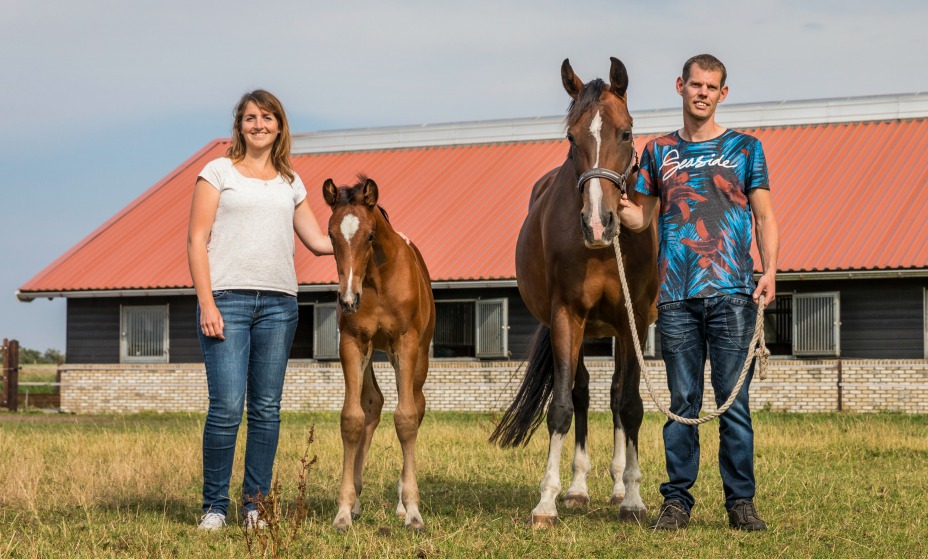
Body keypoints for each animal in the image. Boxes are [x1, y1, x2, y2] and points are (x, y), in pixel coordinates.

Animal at [322, 177, 436, 532]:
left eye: (371, 235)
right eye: (330, 234)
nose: (348, 299)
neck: (377, 281)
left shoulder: (406, 343)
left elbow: (406, 418)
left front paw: (413, 510)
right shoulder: (353, 342)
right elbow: (352, 418)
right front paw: (344, 510)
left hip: (419, 356)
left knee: (415, 405)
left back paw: (401, 503)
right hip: (372, 351)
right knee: (372, 403)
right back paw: (358, 499)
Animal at [492, 59, 660, 528]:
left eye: (626, 132)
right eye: (571, 138)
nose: (598, 223)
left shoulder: (634, 319)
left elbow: (631, 404)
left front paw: (633, 499)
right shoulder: (567, 315)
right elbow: (563, 406)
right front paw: (546, 502)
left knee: (618, 394)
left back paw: (619, 485)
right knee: (582, 391)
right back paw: (578, 488)